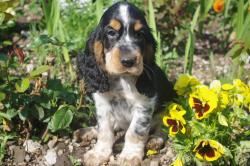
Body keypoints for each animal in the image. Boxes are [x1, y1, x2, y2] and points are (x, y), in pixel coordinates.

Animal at [77, 1, 177, 166]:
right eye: (111, 32)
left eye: (140, 34)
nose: (128, 61)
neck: (122, 79)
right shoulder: (103, 103)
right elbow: (104, 129)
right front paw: (99, 153)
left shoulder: (144, 104)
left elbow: (134, 131)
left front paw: (130, 155)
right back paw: (87, 131)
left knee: (163, 125)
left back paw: (155, 139)